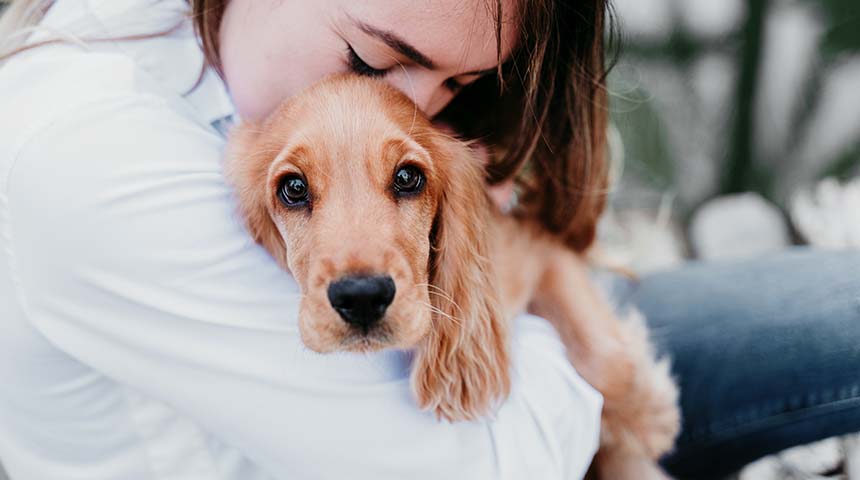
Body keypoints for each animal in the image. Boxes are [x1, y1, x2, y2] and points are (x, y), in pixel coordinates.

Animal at [225, 74, 681, 478]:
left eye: (407, 177)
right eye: (293, 188)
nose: (361, 297)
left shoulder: (541, 247)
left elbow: (609, 358)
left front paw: (649, 420)